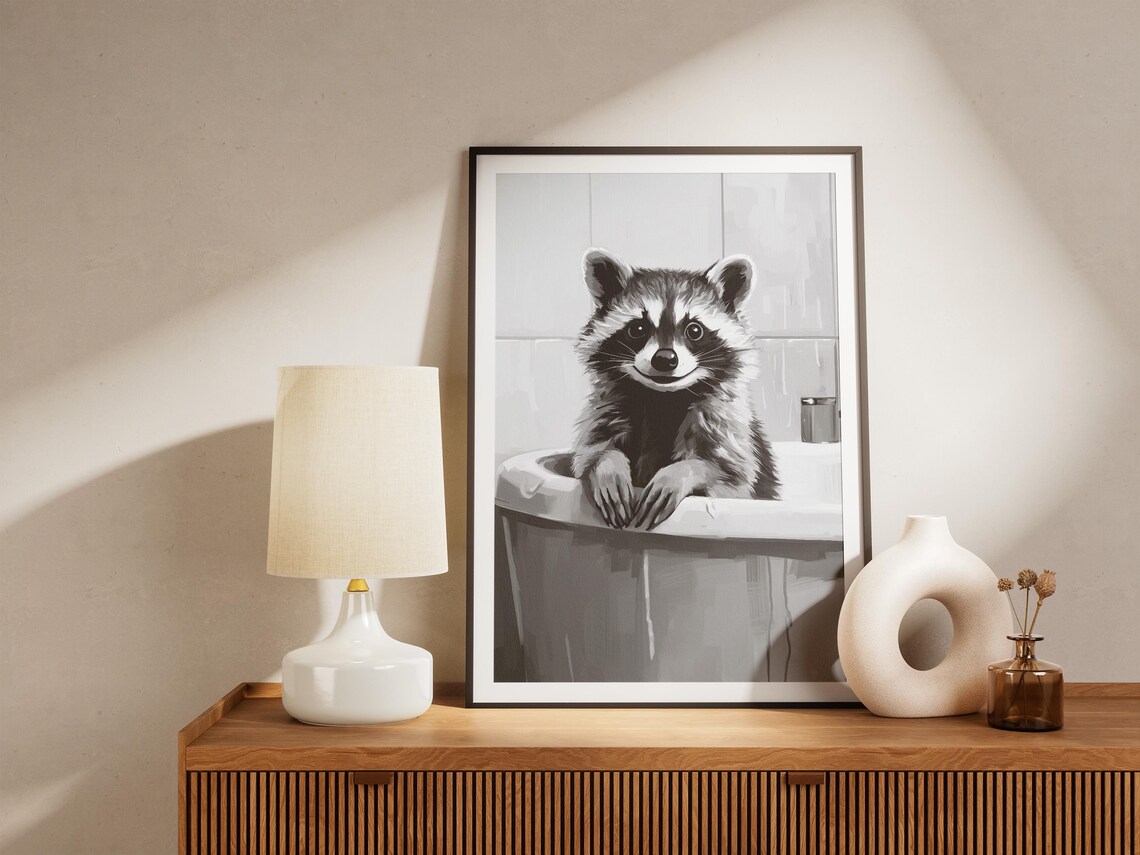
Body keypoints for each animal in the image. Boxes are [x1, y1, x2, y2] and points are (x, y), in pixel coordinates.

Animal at [571, 248, 779, 529]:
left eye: (695, 330)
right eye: (637, 328)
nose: (665, 359)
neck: (662, 399)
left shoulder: (725, 422)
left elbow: (732, 476)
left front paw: (682, 472)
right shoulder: (608, 406)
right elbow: (592, 449)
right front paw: (608, 464)